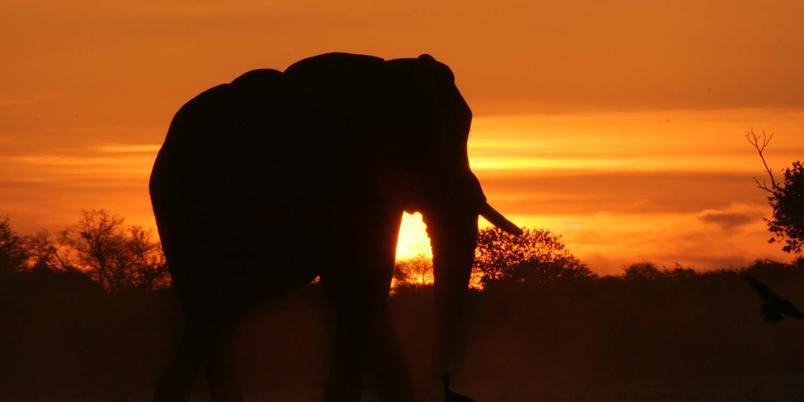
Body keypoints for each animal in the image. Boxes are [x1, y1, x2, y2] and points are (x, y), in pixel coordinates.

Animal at [148, 52, 522, 402]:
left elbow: (369, 285)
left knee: (218, 307)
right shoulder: (344, 175)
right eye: (427, 146)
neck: (389, 72)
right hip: (179, 209)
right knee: (211, 302)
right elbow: (357, 285)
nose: (438, 384)